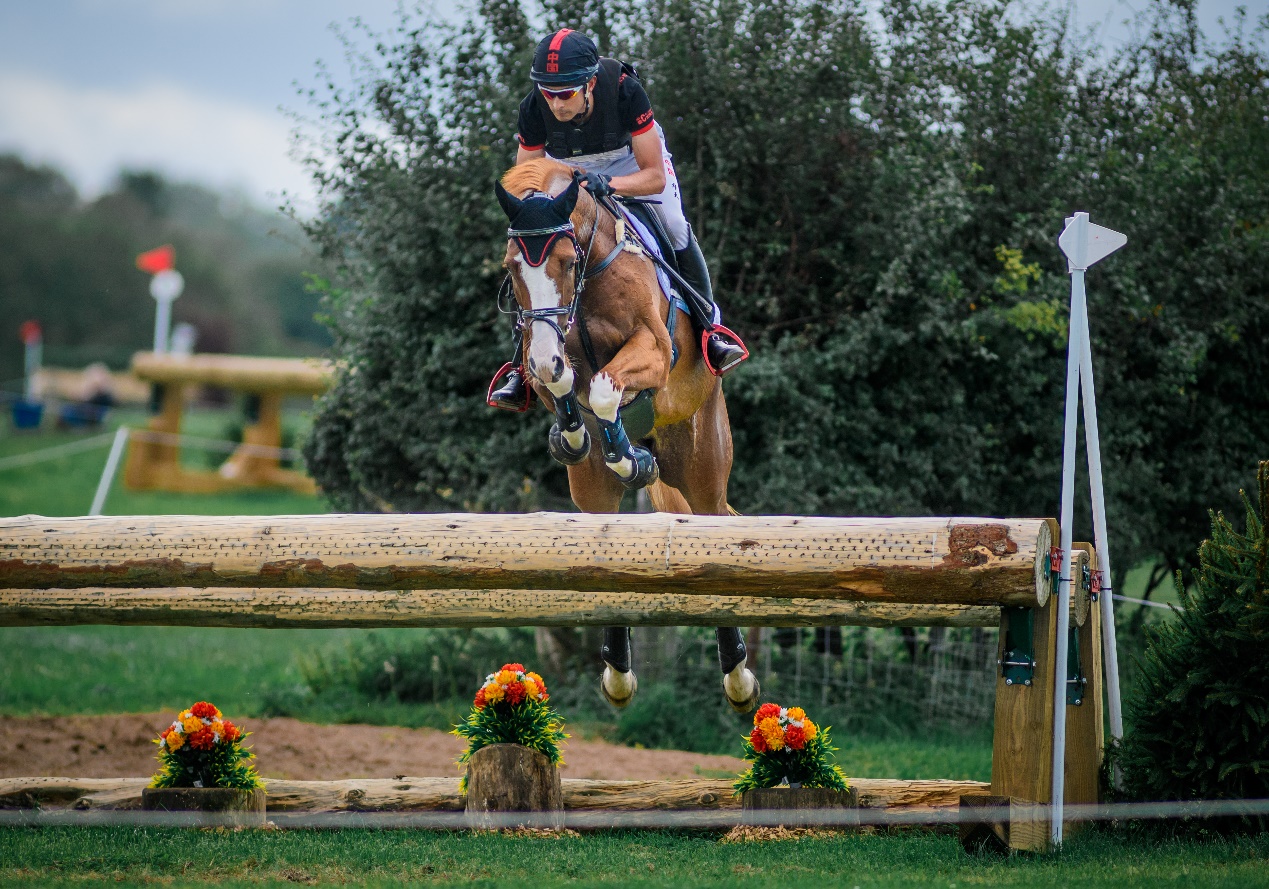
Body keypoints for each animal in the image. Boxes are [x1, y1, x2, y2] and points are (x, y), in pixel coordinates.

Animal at [492, 159, 751, 710]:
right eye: (511, 268)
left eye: (566, 260)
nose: (544, 356)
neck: (589, 278)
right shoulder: (541, 351)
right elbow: (564, 382)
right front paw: (573, 437)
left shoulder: (651, 350)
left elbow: (605, 387)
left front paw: (630, 460)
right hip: (594, 495)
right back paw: (617, 672)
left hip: (702, 465)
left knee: (713, 530)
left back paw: (738, 675)